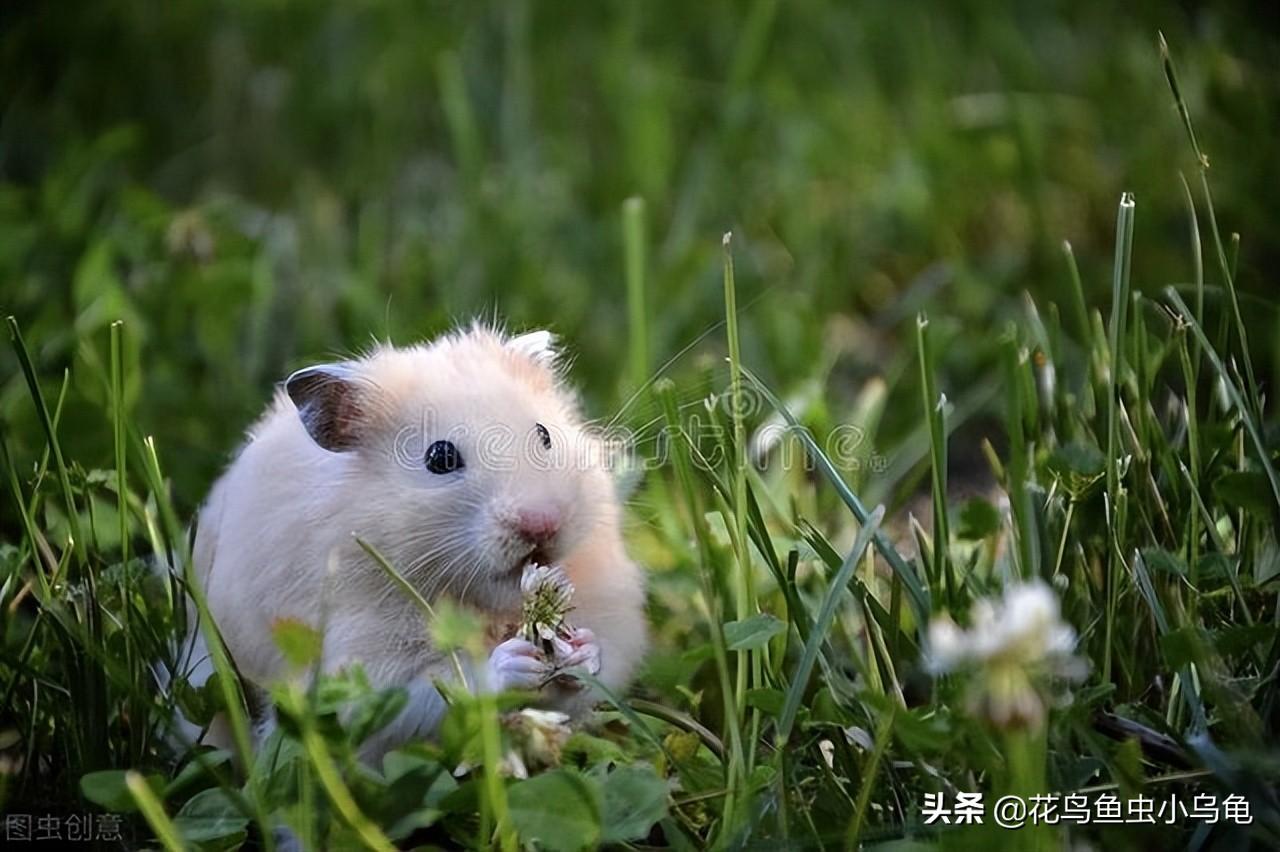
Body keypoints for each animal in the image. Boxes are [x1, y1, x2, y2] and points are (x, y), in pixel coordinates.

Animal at [177, 324, 650, 757]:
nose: (542, 524)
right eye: (440, 458)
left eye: (545, 435)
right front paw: (513, 661)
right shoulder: (359, 665)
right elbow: (432, 690)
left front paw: (581, 651)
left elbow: (592, 675)